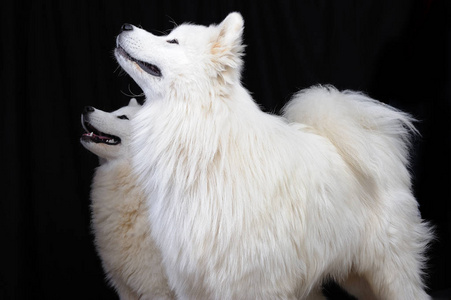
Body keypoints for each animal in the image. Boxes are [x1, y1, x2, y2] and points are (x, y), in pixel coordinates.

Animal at [115, 12, 432, 300]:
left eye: (172, 41)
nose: (124, 25)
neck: (207, 143)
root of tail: (381, 147)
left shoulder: (256, 283)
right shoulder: (193, 282)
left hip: (389, 271)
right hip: (357, 277)